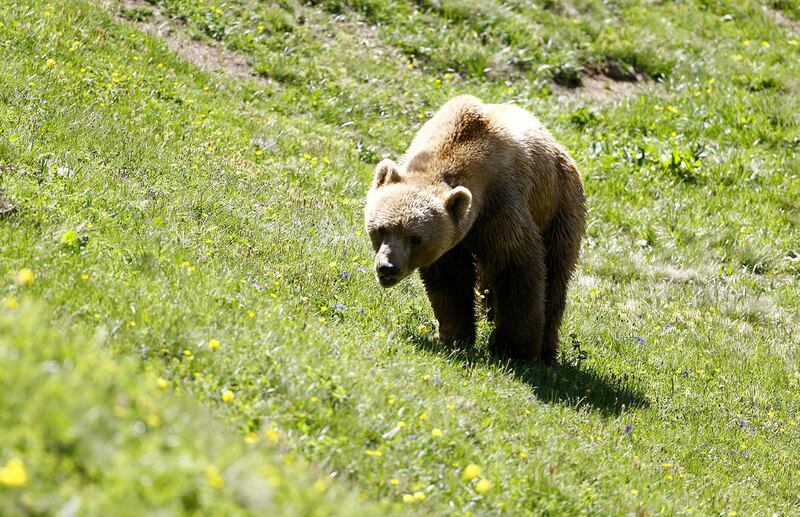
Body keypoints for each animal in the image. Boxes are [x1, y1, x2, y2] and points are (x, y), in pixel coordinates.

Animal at [366, 93, 584, 362]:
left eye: (415, 238)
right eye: (381, 229)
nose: (388, 267)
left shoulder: (500, 207)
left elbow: (518, 265)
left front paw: (514, 349)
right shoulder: (452, 240)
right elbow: (450, 280)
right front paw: (454, 335)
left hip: (558, 207)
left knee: (555, 275)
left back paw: (546, 351)